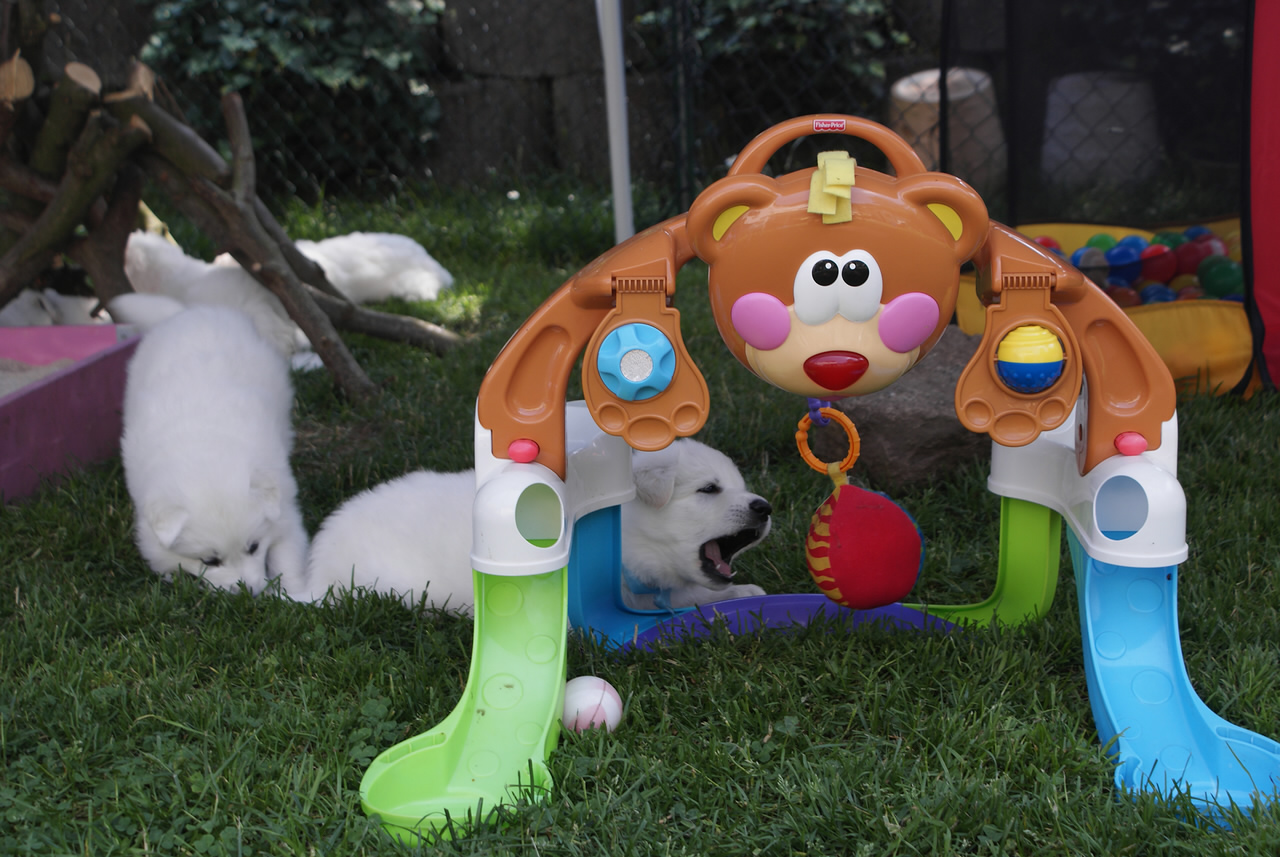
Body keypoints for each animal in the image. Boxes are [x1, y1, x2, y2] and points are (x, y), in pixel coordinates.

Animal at [121, 306, 308, 594]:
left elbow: (287, 554)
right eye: (210, 561)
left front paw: (294, 591)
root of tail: (197, 311)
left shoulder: (284, 511)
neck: (204, 456)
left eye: (254, 547)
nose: (248, 592)